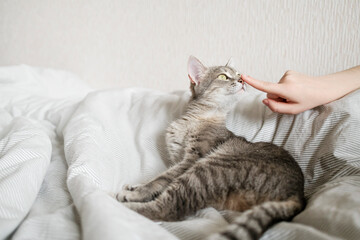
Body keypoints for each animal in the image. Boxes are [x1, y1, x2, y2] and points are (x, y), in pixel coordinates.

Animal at [117, 56, 304, 240]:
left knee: (168, 209)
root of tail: (298, 195)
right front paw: (136, 186)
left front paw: (137, 192)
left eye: (238, 75)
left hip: (208, 169)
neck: (198, 118)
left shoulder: (192, 158)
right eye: (223, 76)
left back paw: (126, 205)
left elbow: (161, 179)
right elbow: (160, 176)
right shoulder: (177, 157)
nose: (242, 80)